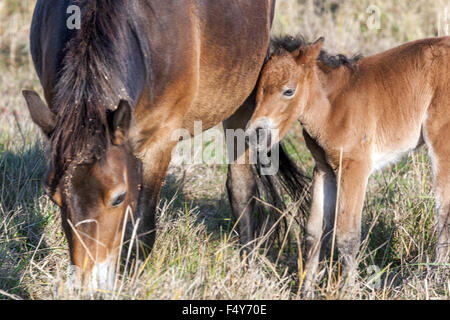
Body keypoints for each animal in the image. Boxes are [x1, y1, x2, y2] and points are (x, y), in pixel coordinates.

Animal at [22, 0, 310, 292]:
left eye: (118, 197)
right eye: (54, 198)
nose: (89, 287)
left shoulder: (160, 142)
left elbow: (143, 227)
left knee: (241, 187)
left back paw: (247, 269)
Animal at [248, 35, 450, 292]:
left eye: (289, 91)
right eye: (258, 90)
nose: (255, 134)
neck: (331, 107)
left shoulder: (355, 167)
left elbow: (347, 234)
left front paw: (347, 289)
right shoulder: (324, 169)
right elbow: (314, 231)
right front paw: (305, 290)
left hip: (441, 144)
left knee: (443, 211)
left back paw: (436, 276)